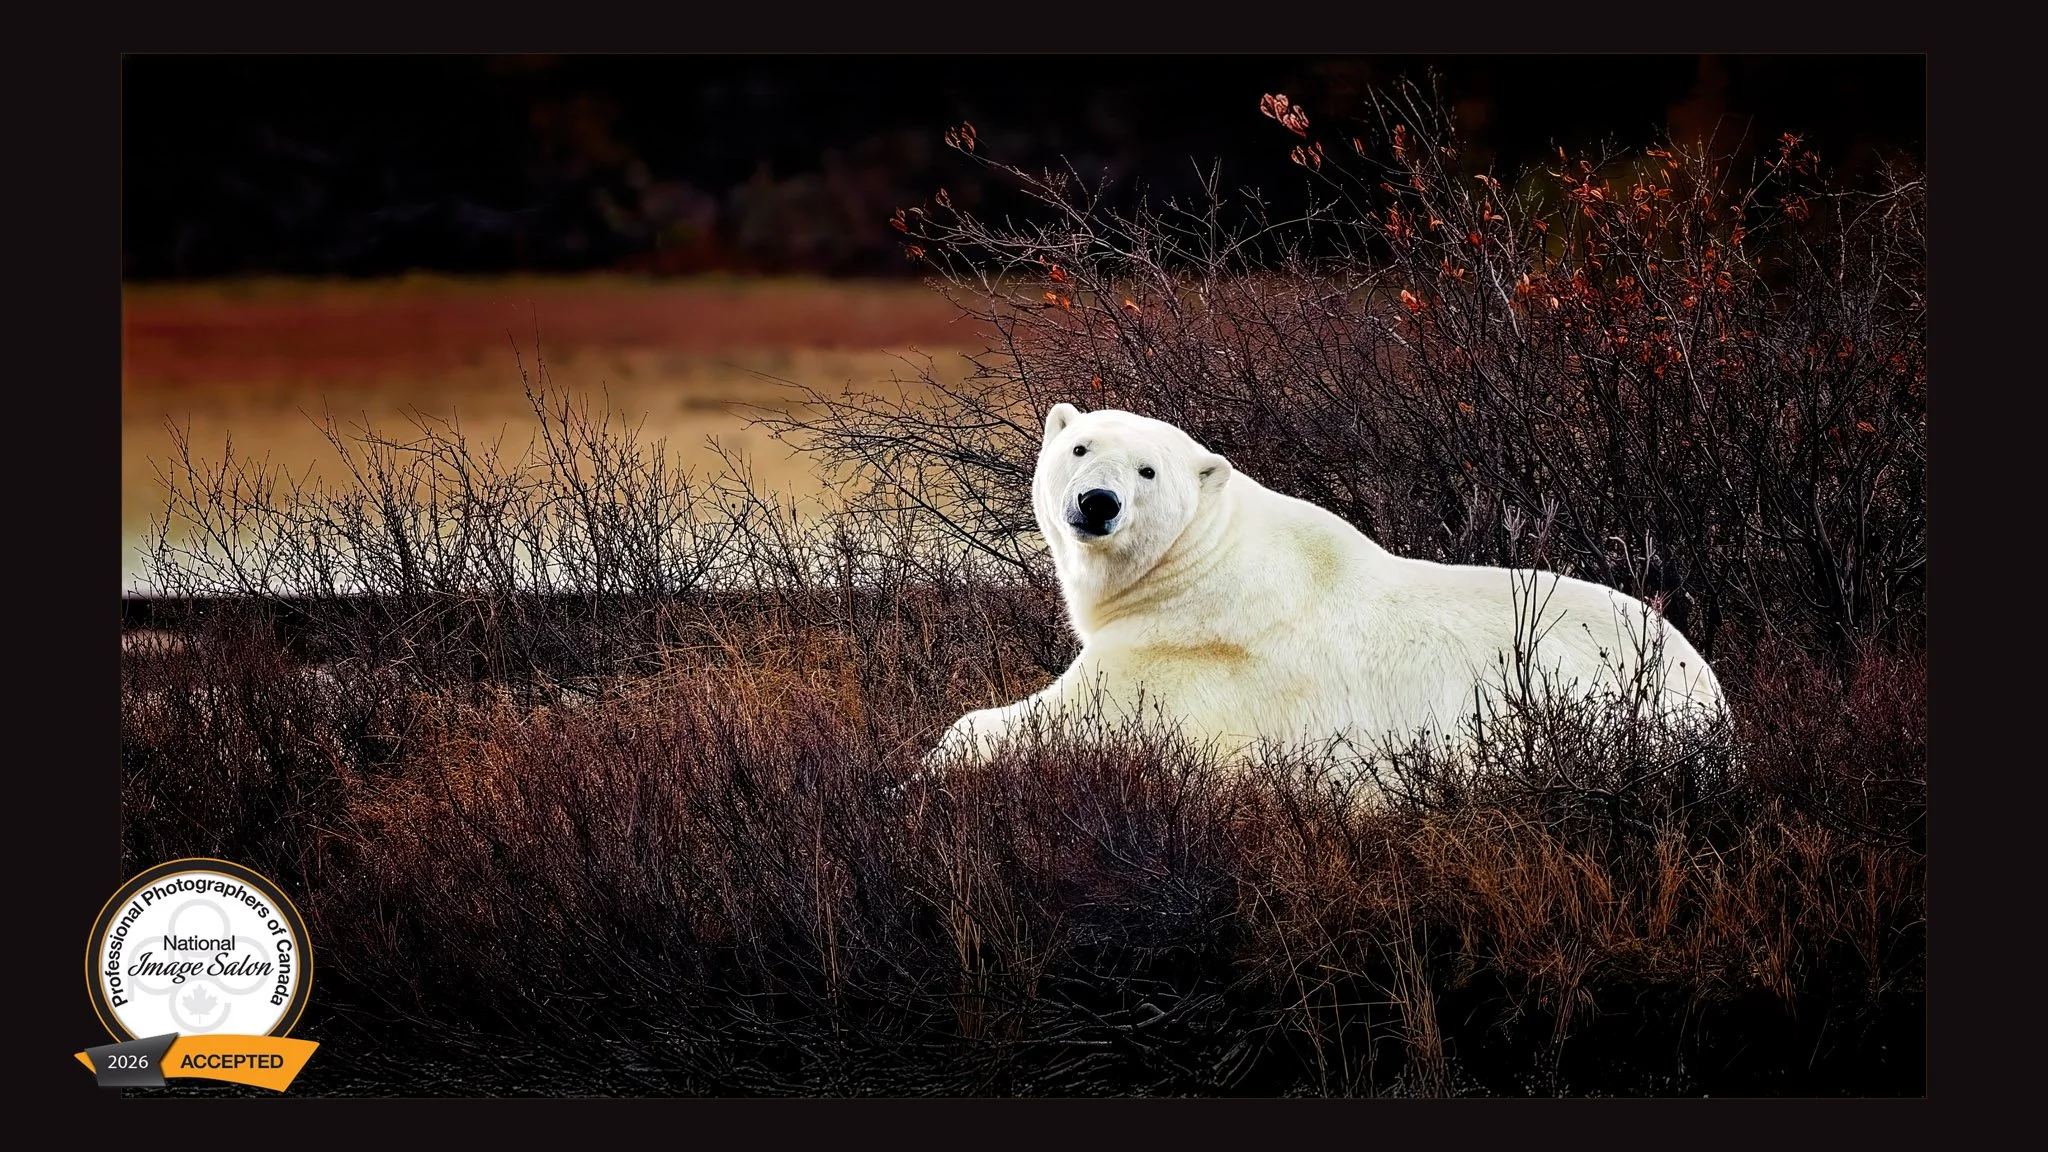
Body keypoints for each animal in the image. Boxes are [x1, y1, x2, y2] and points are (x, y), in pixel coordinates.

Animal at [929, 403, 1725, 770]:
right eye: (1079, 446)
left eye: (1148, 470)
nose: (1098, 502)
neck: (1201, 564)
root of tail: (1713, 700)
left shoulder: (1181, 655)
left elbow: (1060, 722)